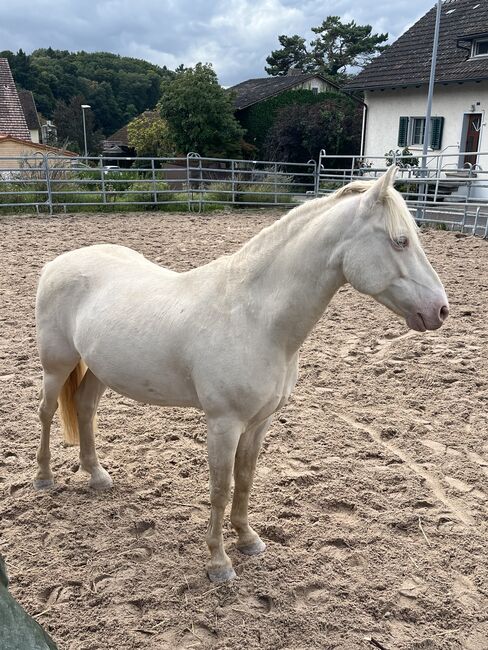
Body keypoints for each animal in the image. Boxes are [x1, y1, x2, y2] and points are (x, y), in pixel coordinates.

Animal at [34, 166, 449, 582]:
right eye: (400, 241)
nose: (441, 310)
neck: (254, 318)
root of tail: (56, 263)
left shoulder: (259, 422)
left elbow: (245, 479)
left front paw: (248, 539)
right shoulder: (224, 423)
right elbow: (220, 486)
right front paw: (219, 562)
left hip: (98, 370)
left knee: (85, 408)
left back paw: (97, 476)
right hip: (57, 365)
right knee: (47, 412)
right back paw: (44, 479)